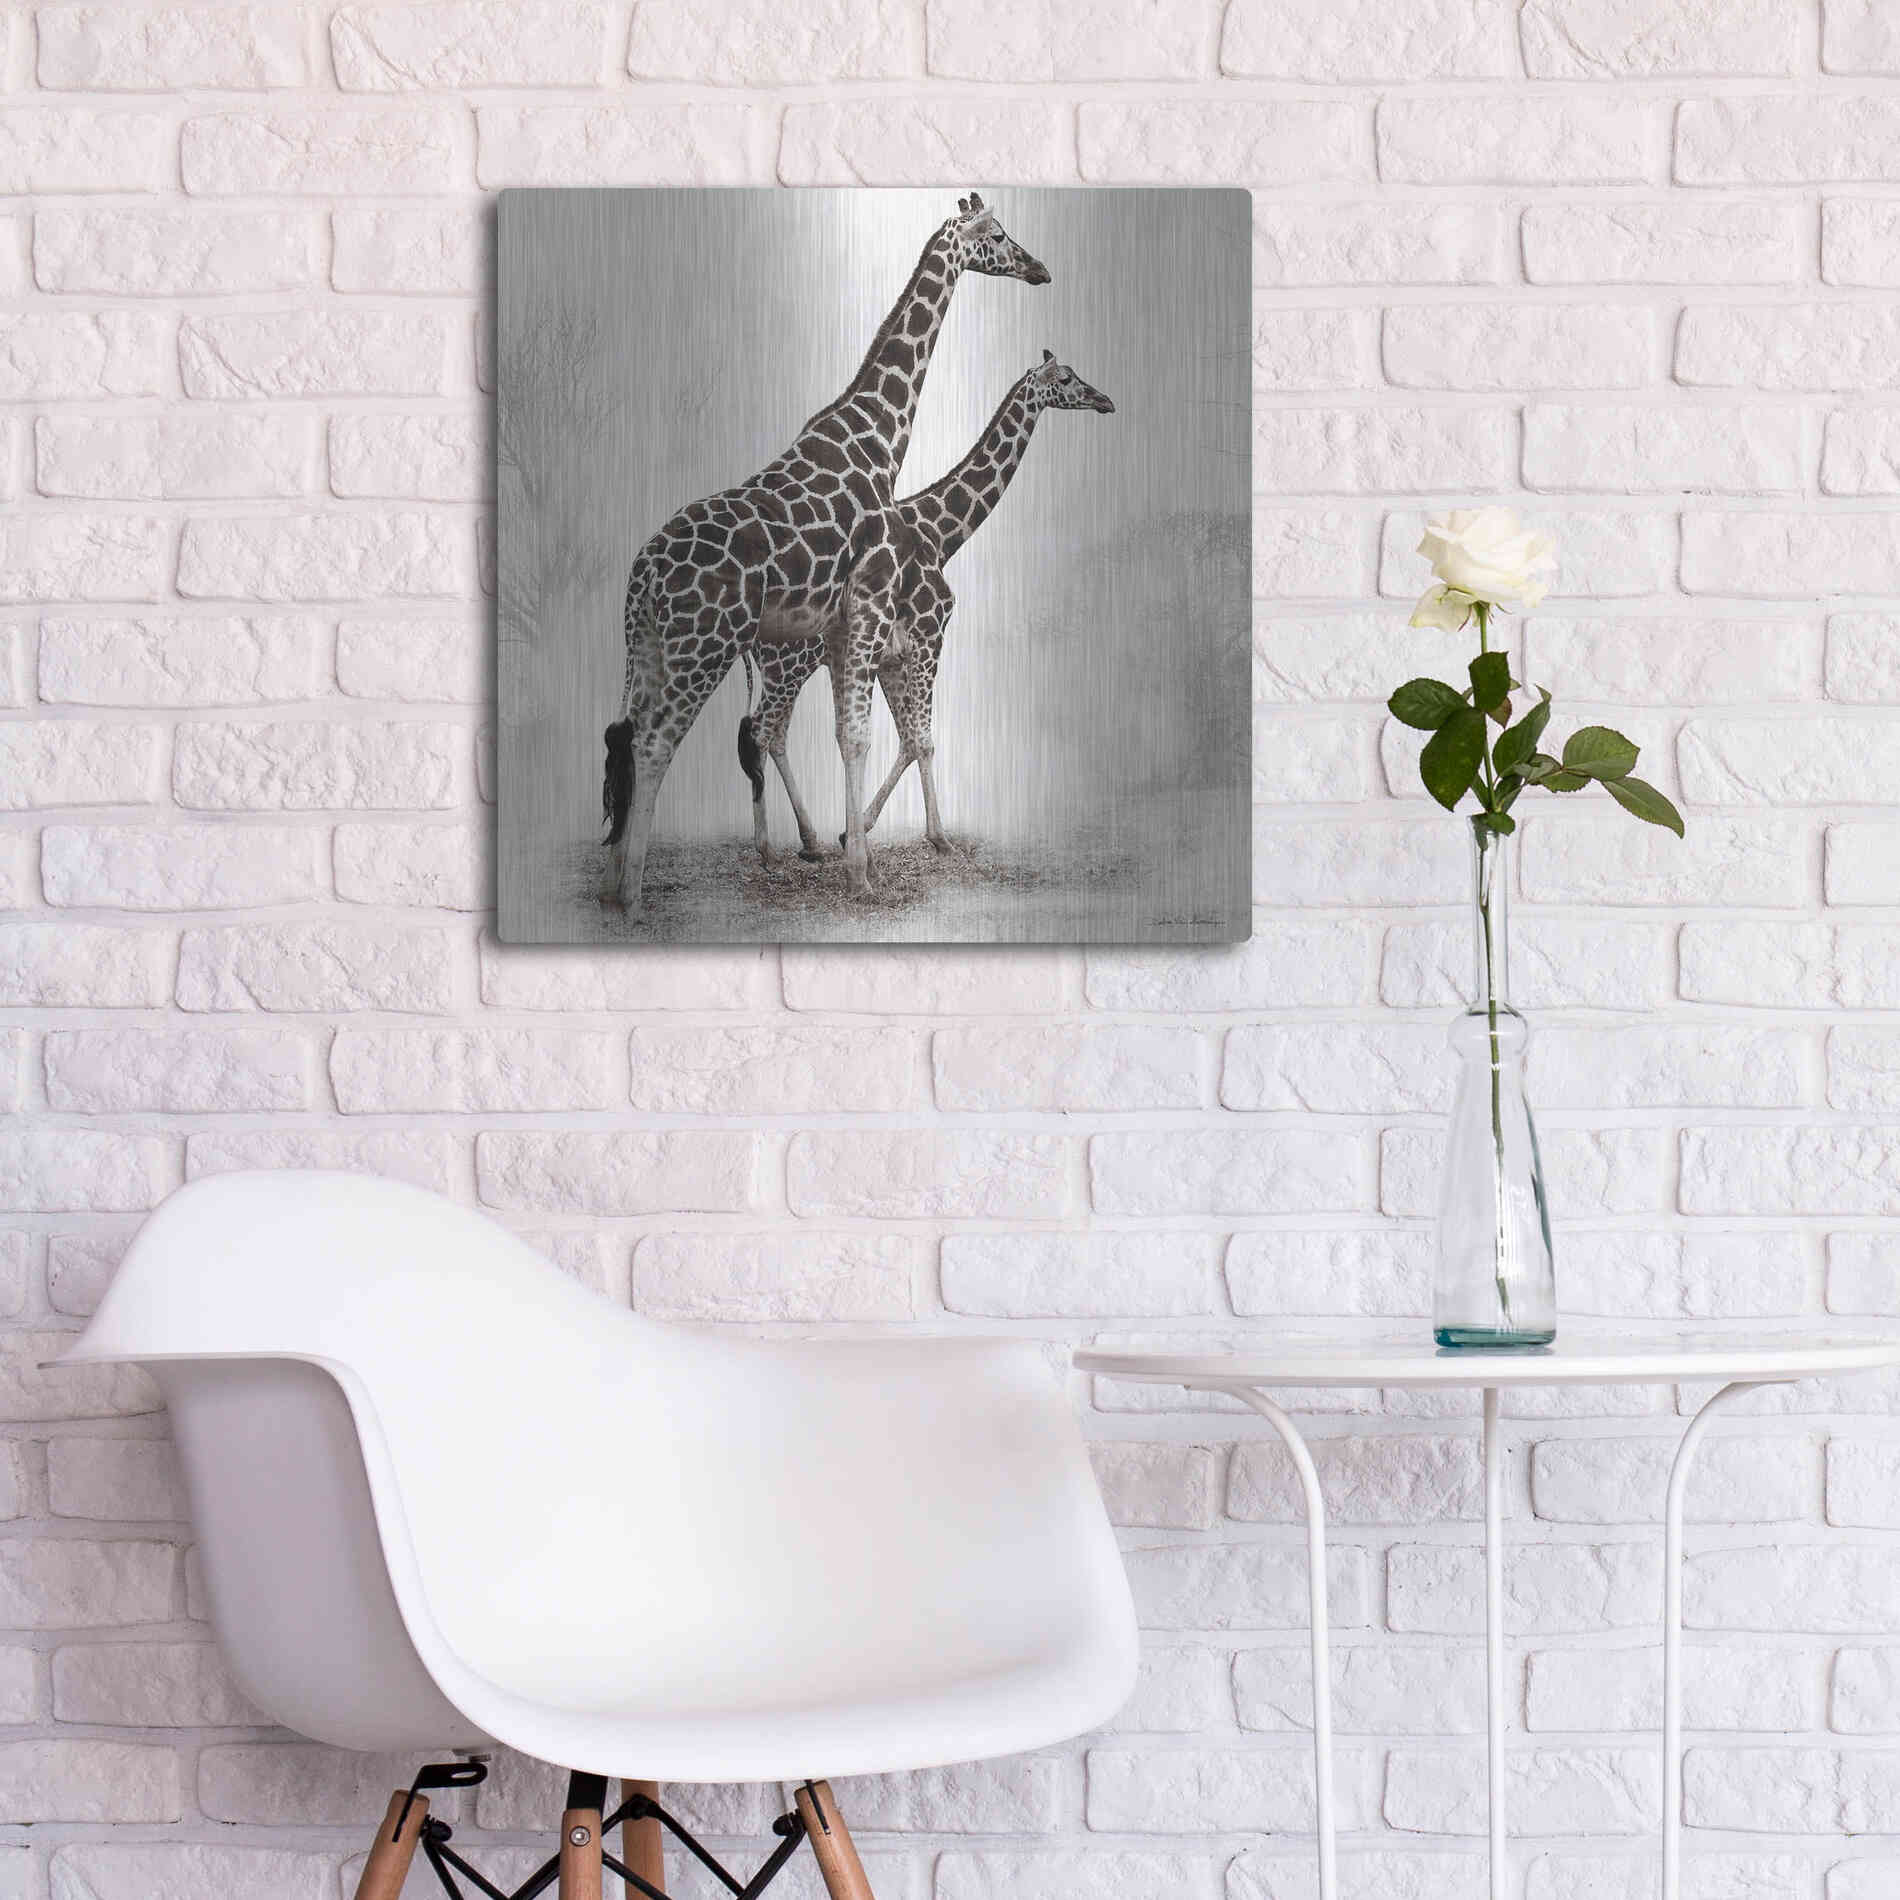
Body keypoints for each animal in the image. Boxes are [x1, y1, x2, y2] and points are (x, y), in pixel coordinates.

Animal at [601, 194, 1049, 918]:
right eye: (1000, 235)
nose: (1039, 269)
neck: (877, 439)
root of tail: (641, 576)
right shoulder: (871, 610)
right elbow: (866, 735)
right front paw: (860, 870)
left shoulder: (851, 628)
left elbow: (857, 735)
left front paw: (852, 853)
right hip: (704, 647)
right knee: (660, 741)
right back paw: (637, 894)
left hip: (649, 648)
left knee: (632, 734)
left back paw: (617, 878)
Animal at [743, 350, 1115, 860]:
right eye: (1064, 378)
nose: (1104, 401)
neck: (940, 535)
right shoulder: (929, 635)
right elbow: (923, 740)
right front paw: (938, 838)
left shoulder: (892, 656)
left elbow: (906, 739)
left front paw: (856, 830)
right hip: (789, 665)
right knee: (762, 731)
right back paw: (768, 847)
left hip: (785, 668)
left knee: (770, 733)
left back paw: (808, 840)